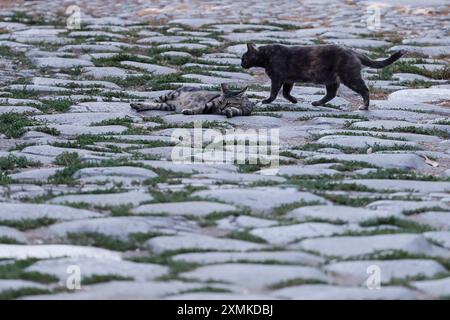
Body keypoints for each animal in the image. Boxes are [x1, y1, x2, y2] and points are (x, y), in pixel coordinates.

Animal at [241, 42, 406, 110]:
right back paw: (317, 103)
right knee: (331, 94)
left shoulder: (277, 78)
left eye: (243, 58)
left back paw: (364, 106)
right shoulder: (288, 80)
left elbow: (274, 92)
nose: (241, 64)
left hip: (349, 76)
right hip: (331, 79)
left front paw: (266, 101)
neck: (265, 56)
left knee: (365, 90)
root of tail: (354, 52)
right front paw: (294, 100)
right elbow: (286, 93)